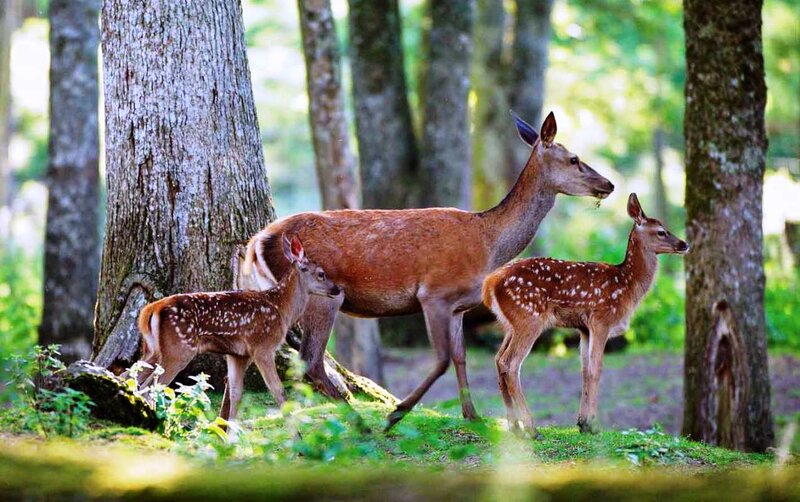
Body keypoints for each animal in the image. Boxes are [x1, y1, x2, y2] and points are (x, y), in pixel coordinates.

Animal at [133, 234, 342, 421]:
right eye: (321, 273)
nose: (337, 289)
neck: (282, 309)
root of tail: (152, 309)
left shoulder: (238, 354)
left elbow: (235, 393)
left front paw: (228, 433)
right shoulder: (263, 347)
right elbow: (278, 391)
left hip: (152, 350)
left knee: (134, 378)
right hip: (178, 349)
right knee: (150, 388)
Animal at [243, 112, 615, 430]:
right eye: (574, 159)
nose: (609, 184)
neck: (489, 243)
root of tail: (258, 240)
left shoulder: (460, 305)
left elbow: (461, 356)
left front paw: (472, 415)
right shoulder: (434, 294)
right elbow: (441, 359)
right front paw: (396, 413)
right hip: (323, 295)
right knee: (311, 359)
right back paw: (361, 423)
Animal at [482, 193, 689, 438]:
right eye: (661, 231)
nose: (684, 244)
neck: (626, 286)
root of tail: (490, 283)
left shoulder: (583, 328)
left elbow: (584, 370)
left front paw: (582, 423)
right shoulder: (602, 319)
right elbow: (596, 369)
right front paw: (593, 425)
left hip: (509, 324)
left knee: (498, 360)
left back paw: (513, 426)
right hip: (528, 317)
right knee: (511, 363)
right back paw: (532, 428)